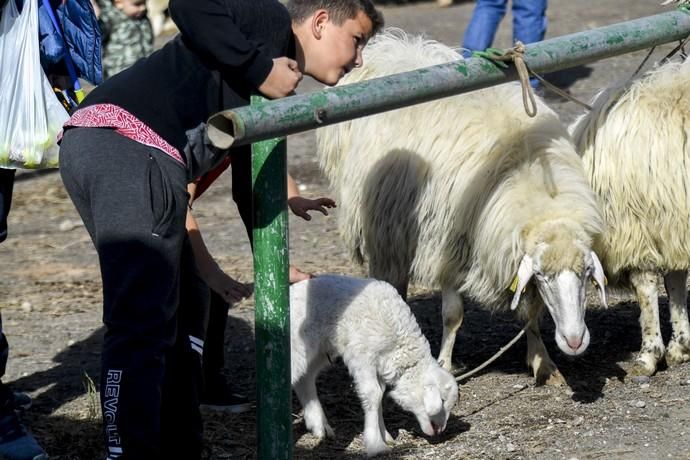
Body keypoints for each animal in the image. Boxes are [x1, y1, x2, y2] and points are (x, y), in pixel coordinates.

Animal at [290, 274, 456, 456]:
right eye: (442, 400)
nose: (440, 430)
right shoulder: (363, 356)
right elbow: (372, 394)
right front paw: (376, 443)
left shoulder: (381, 363)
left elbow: (380, 394)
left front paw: (385, 435)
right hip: (297, 347)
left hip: (319, 350)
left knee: (304, 380)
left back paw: (320, 427)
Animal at [314, 30, 604, 386]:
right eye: (541, 275)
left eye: (587, 272)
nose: (575, 341)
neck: (530, 175)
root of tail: (390, 47)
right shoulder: (447, 243)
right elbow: (453, 315)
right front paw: (444, 365)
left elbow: (529, 311)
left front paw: (542, 360)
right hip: (384, 224)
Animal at [564, 56, 688, 378]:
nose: (573, 342)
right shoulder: (670, 225)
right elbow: (675, 281)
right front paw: (681, 346)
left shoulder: (636, 229)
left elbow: (646, 288)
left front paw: (649, 354)